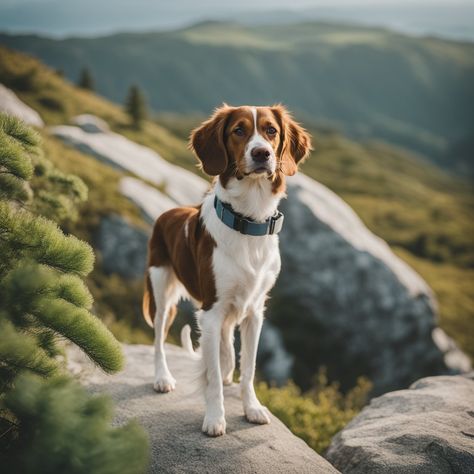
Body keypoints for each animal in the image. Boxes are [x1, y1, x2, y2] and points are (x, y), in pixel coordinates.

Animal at [142, 104, 312, 436]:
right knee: (157, 340)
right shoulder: (211, 310)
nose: (261, 154)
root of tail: (169, 212)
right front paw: (214, 418)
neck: (248, 222)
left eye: (271, 131)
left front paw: (252, 408)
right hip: (161, 290)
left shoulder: (255, 311)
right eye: (239, 131)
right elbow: (211, 378)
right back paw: (162, 378)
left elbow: (248, 368)